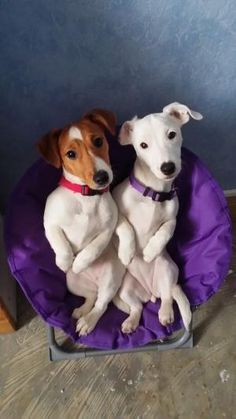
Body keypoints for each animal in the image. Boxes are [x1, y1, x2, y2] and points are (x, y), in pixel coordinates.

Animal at [37, 110, 123, 336]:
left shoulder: (108, 229)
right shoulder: (50, 224)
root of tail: (94, 283)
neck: (86, 197)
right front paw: (65, 262)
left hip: (110, 279)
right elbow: (61, 245)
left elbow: (93, 248)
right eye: (70, 154)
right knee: (91, 297)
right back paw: (81, 310)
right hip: (72, 284)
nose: (102, 177)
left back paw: (88, 321)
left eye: (98, 141)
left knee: (101, 304)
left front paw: (80, 263)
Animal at [111, 102, 202, 334]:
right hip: (125, 288)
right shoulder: (115, 212)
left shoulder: (173, 217)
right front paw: (127, 252)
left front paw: (151, 250)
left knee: (168, 297)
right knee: (137, 307)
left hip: (167, 271)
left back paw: (165, 314)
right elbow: (125, 227)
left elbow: (167, 229)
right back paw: (131, 322)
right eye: (143, 145)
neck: (153, 193)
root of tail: (150, 292)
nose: (167, 167)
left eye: (172, 135)